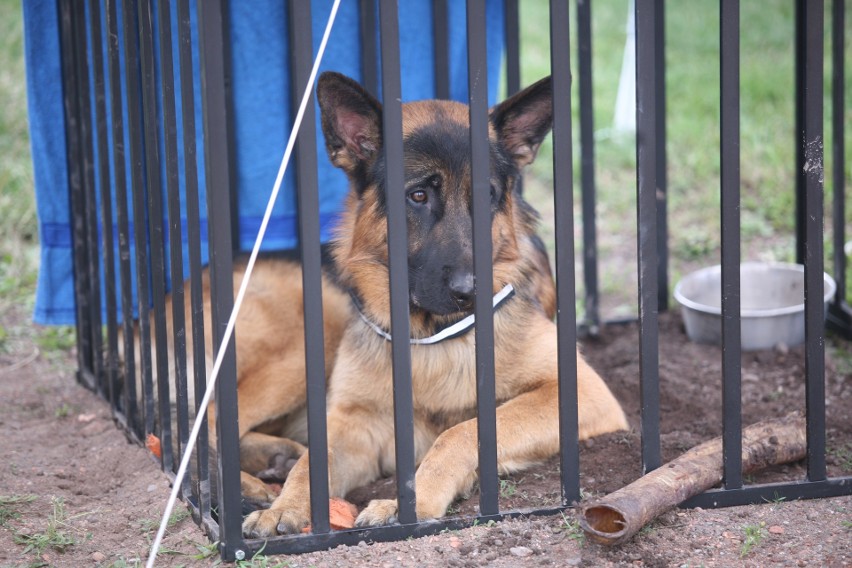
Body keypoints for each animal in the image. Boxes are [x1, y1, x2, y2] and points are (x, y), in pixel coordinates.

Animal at [238, 73, 624, 540]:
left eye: (488, 196)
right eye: (418, 195)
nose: (470, 290)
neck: (431, 335)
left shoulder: (581, 393)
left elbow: (463, 430)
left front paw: (413, 502)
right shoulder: (356, 422)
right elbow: (316, 460)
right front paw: (287, 505)